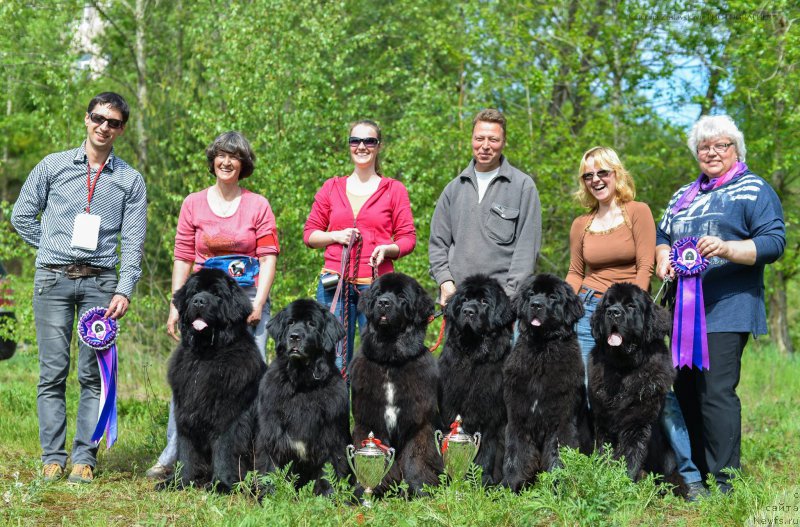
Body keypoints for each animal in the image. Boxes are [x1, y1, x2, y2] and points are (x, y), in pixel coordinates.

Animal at [164, 270, 268, 492]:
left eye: (217, 295)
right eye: (194, 292)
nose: (199, 301)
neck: (205, 356)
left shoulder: (228, 417)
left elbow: (224, 452)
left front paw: (221, 484)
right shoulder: (185, 414)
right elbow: (185, 453)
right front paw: (178, 482)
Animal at [350, 274, 444, 498]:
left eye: (402, 296)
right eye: (378, 293)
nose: (383, 302)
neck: (391, 361)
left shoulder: (419, 423)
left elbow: (415, 458)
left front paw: (419, 488)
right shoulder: (370, 421)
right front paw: (369, 489)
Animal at [438, 274, 512, 484]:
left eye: (484, 301)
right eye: (464, 300)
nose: (468, 311)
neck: (473, 356)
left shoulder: (490, 415)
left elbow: (486, 449)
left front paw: (480, 480)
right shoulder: (450, 408)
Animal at [504, 274, 592, 492]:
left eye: (553, 297)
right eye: (531, 294)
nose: (536, 304)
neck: (541, 350)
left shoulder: (562, 421)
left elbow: (558, 457)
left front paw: (558, 488)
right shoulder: (518, 417)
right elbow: (516, 455)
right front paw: (509, 488)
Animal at [592, 284, 680, 482]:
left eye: (631, 306)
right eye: (608, 304)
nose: (613, 312)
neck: (624, 370)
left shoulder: (637, 422)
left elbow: (630, 453)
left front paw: (623, 479)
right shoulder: (603, 419)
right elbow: (604, 450)